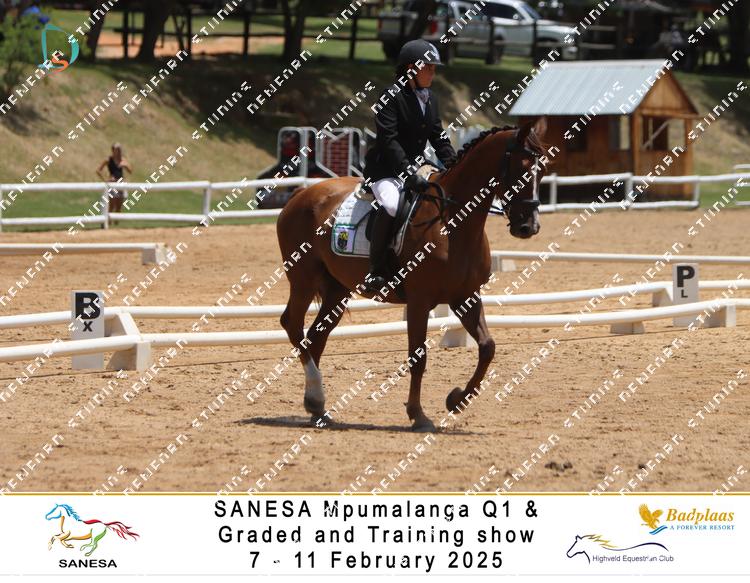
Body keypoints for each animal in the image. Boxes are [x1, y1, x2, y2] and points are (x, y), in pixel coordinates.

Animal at [276, 120, 547, 431]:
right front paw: (418, 415)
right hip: (303, 280)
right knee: (293, 324)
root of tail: (300, 195)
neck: (452, 222)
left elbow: (487, 347)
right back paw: (316, 399)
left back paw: (317, 406)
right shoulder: (419, 301)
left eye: (543, 170)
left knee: (316, 336)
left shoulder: (466, 297)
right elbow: (418, 357)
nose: (528, 227)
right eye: (522, 168)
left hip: (337, 289)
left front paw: (456, 399)